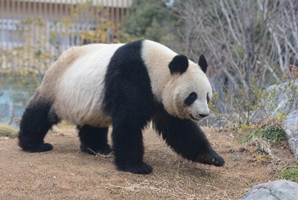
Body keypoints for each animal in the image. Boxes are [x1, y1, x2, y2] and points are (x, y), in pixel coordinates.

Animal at [18, 38, 224, 173]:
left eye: (207, 97)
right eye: (192, 96)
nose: (203, 114)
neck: (155, 68)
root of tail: (60, 57)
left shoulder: (161, 98)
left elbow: (180, 129)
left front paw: (212, 157)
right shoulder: (131, 77)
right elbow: (128, 123)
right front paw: (137, 166)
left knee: (92, 124)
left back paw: (98, 148)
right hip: (57, 86)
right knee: (39, 114)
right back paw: (34, 144)